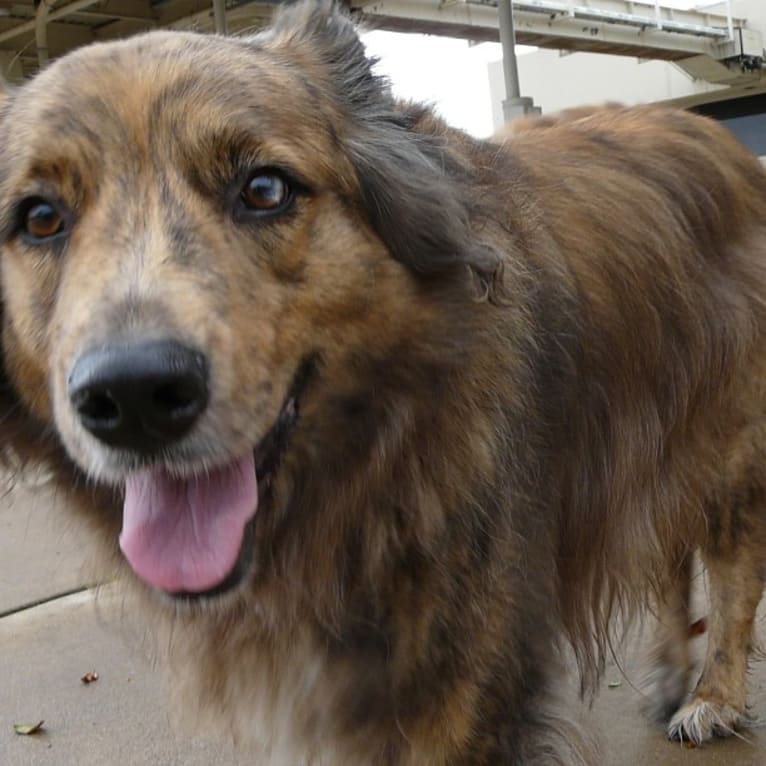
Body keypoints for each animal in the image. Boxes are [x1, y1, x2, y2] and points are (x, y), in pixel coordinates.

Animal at [0, 3, 764, 764]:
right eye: (39, 217)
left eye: (265, 188)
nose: (133, 399)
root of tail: (724, 141)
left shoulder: (468, 666)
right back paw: (670, 672)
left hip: (724, 450)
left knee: (730, 568)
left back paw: (713, 696)